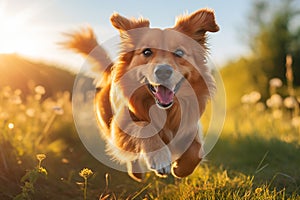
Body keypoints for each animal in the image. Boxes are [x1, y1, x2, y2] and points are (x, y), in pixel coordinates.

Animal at [63, 8, 219, 181]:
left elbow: (196, 151)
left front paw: (180, 169)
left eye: (179, 52)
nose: (163, 72)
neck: (165, 111)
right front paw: (160, 158)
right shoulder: (120, 126)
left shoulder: (190, 126)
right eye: (147, 52)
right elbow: (144, 128)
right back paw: (137, 173)